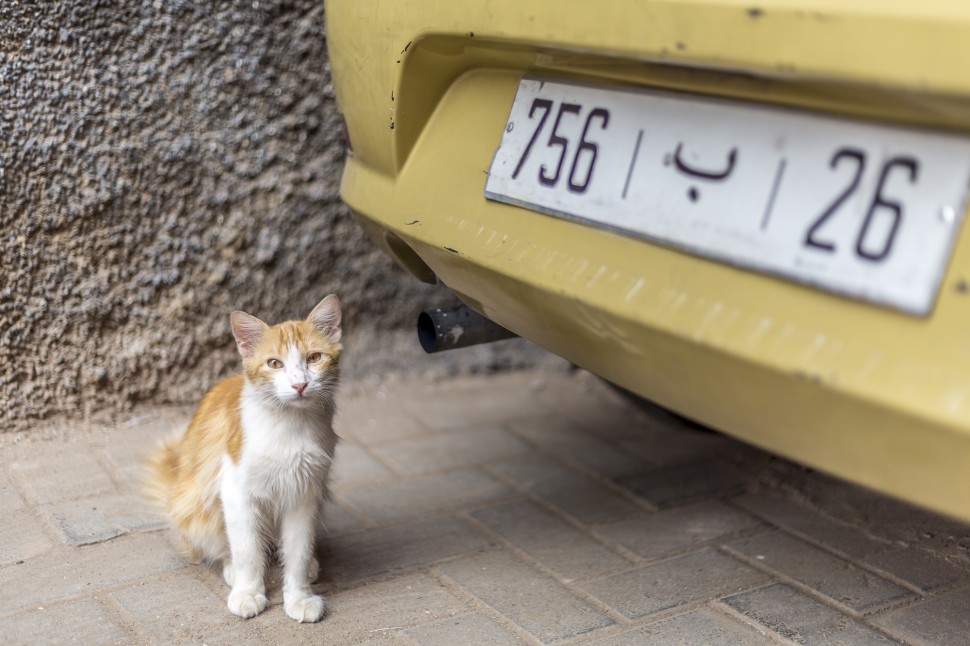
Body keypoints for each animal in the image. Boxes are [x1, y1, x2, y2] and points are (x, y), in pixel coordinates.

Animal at [144, 296, 340, 624]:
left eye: (314, 358)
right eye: (274, 363)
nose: (299, 385)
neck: (290, 424)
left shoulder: (303, 493)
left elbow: (297, 551)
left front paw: (298, 596)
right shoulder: (236, 492)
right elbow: (247, 549)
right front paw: (248, 592)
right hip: (197, 504)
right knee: (226, 544)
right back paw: (232, 570)